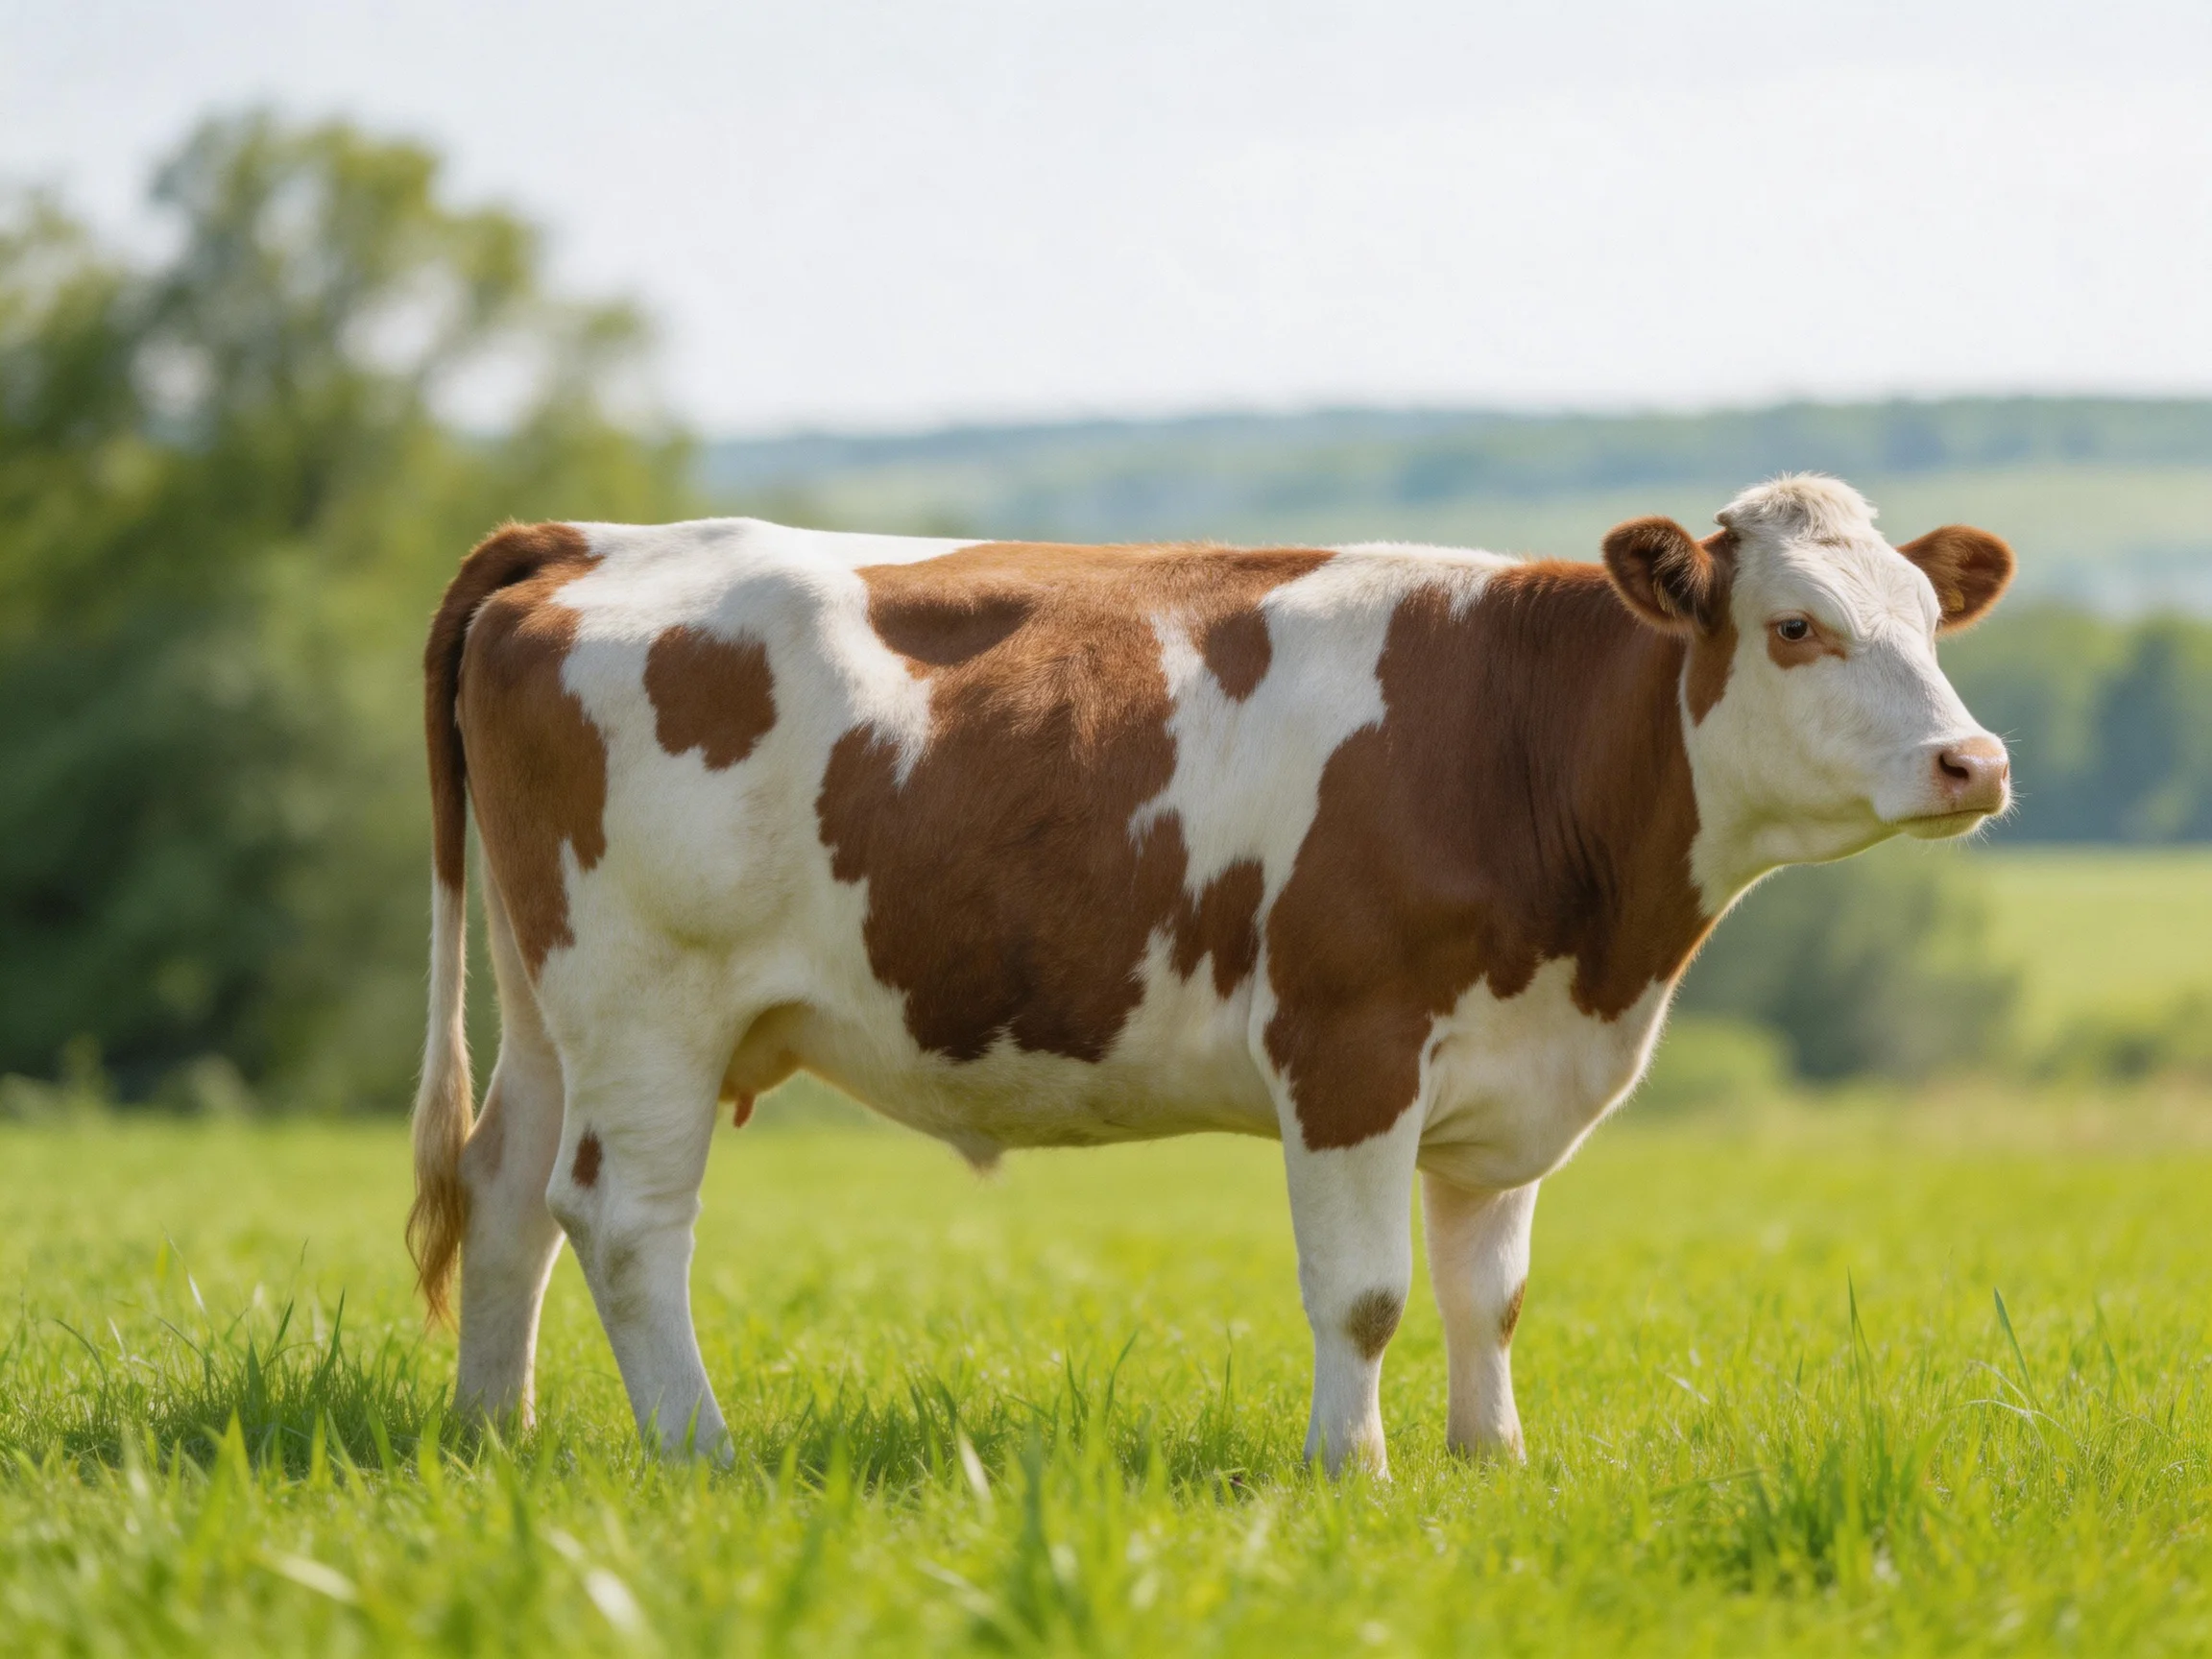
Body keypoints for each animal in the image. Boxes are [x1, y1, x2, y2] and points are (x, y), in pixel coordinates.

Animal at [406, 473, 2012, 1474]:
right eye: (1796, 626)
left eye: (1932, 623)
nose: (1975, 759)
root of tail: (586, 538)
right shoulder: (1348, 1043)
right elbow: (1365, 1294)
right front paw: (1351, 1472)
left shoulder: (1509, 1077)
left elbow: (1487, 1293)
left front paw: (1490, 1462)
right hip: (650, 1000)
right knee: (621, 1221)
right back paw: (703, 1451)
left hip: (549, 999)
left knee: (506, 1191)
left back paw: (498, 1435)